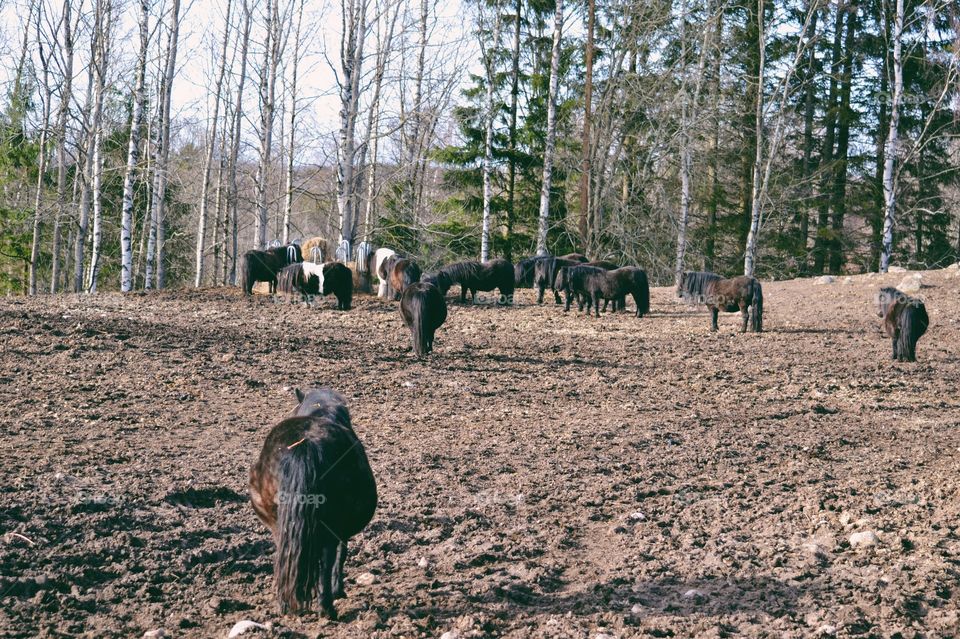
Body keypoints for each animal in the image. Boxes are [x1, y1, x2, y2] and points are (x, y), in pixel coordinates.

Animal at [249, 388, 376, 624]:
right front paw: (337, 590)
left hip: (281, 526)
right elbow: (339, 557)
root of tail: (305, 444)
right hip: (330, 527)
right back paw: (327, 609)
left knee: (287, 559)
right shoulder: (339, 532)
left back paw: (286, 604)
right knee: (326, 563)